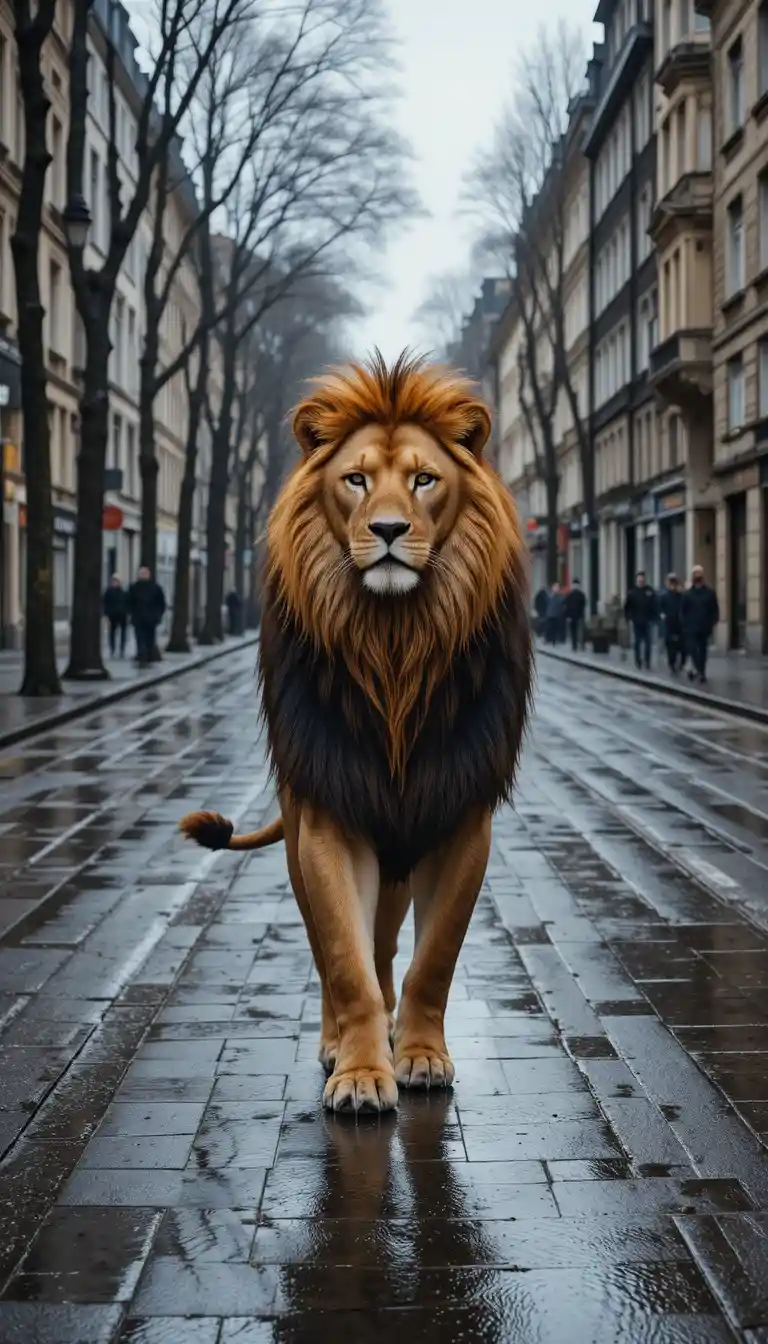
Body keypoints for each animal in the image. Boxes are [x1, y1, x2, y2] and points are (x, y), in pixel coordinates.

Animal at [180, 351, 532, 1114]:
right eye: (356, 480)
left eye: (425, 479)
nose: (391, 530)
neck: (395, 643)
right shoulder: (331, 817)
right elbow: (343, 956)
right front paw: (362, 1072)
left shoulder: (459, 816)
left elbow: (434, 958)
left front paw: (420, 1056)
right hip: (302, 838)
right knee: (335, 949)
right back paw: (337, 1041)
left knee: (387, 943)